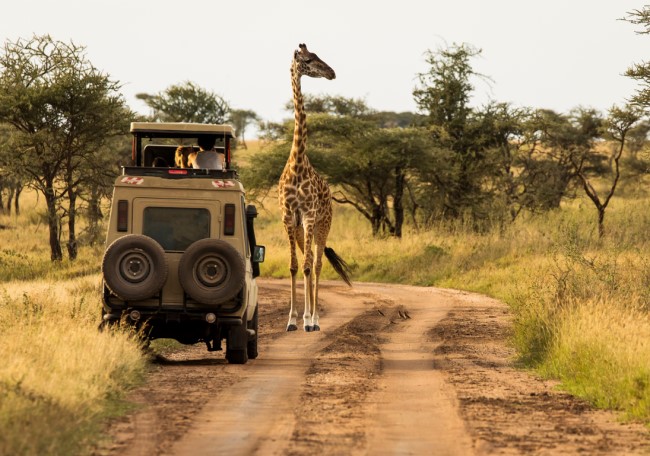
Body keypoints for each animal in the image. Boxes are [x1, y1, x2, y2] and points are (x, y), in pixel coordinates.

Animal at [279, 43, 352, 332]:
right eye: (308, 60)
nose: (332, 73)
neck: (297, 164)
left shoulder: (309, 217)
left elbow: (310, 266)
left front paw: (308, 320)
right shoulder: (289, 218)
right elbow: (293, 266)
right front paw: (291, 320)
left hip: (323, 225)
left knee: (318, 264)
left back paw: (316, 319)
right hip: (302, 230)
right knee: (307, 261)